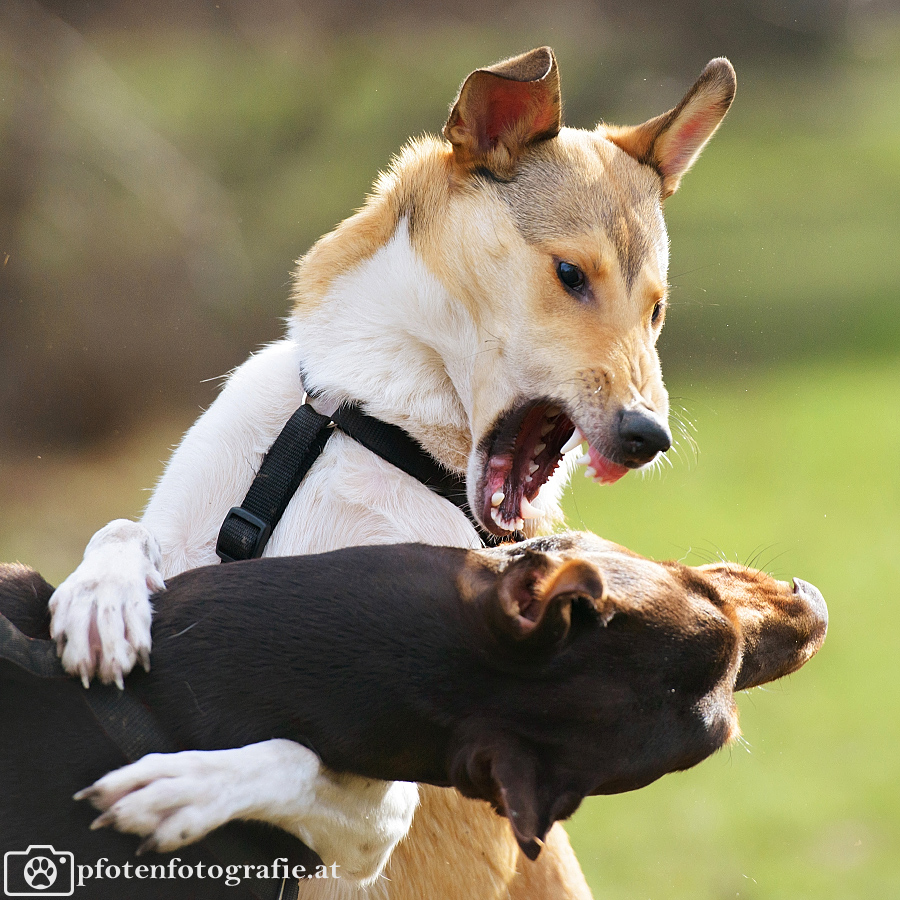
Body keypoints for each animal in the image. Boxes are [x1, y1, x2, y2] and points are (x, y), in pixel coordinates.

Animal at [49, 49, 736, 900]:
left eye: (656, 311)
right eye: (571, 273)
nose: (649, 437)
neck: (373, 423)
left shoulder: (389, 802)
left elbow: (296, 757)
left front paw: (182, 789)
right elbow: (121, 531)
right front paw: (100, 602)